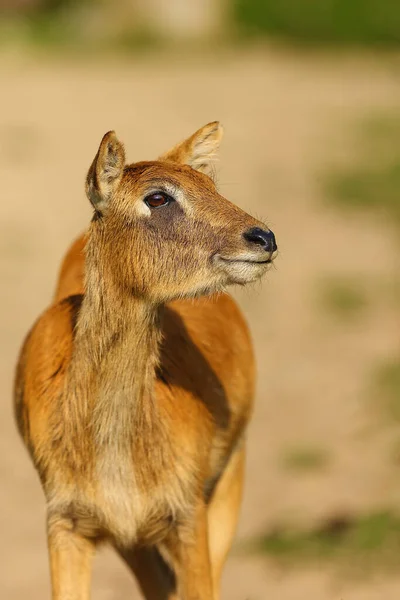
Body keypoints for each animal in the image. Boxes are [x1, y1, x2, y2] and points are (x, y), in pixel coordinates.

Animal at [14, 123, 278, 600]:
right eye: (157, 197)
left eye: (211, 184)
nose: (263, 237)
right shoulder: (67, 522)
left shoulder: (187, 517)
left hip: (227, 487)